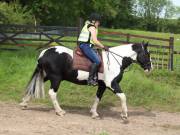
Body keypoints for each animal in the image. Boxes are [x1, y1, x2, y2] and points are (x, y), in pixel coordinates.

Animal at [19, 42, 152, 119]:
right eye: (147, 53)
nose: (150, 68)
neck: (116, 61)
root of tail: (44, 53)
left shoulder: (102, 85)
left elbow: (98, 98)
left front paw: (94, 113)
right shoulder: (112, 84)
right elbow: (123, 96)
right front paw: (124, 114)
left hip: (47, 76)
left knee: (34, 87)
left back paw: (24, 103)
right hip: (56, 78)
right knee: (52, 93)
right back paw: (60, 111)